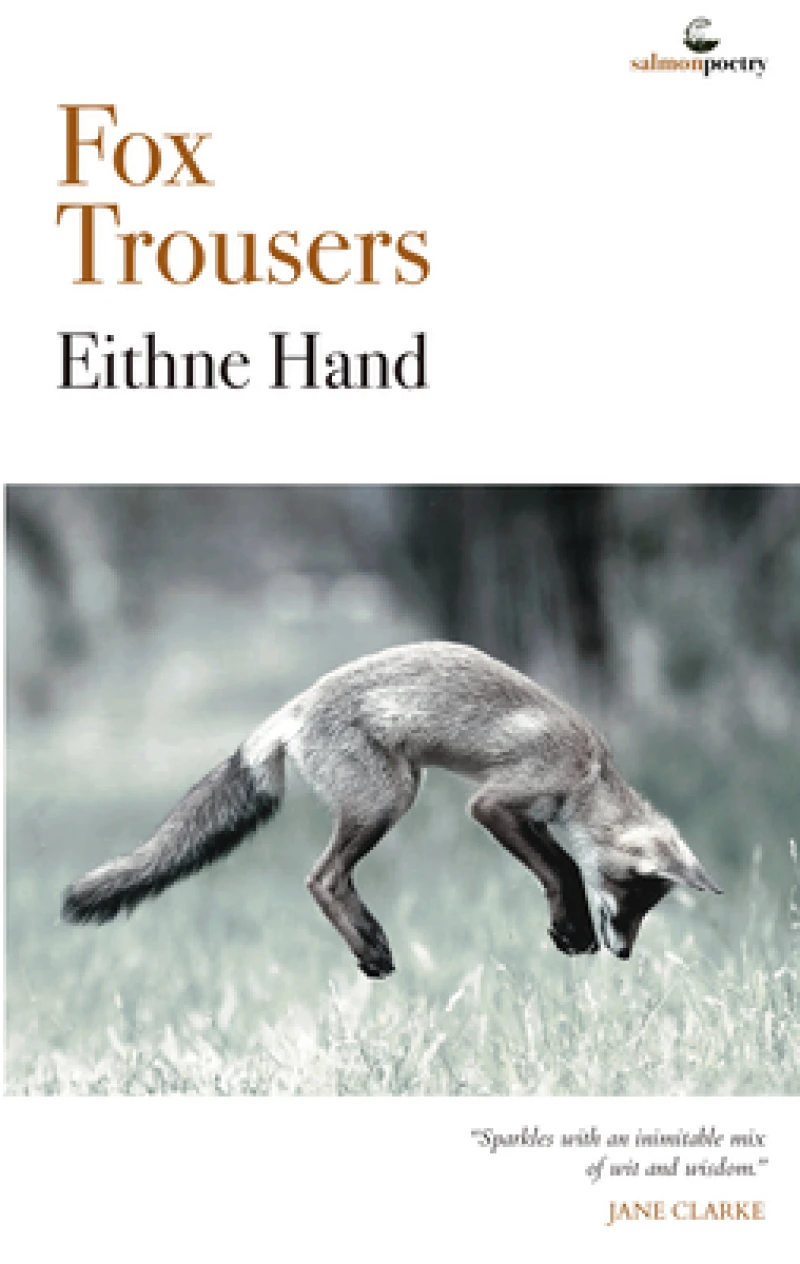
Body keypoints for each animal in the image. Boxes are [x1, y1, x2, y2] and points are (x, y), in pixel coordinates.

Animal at [62, 642, 722, 977]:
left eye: (647, 906)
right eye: (632, 894)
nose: (626, 954)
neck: (588, 776)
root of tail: (298, 704)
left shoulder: (527, 814)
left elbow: (559, 865)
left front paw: (571, 928)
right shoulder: (495, 804)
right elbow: (560, 867)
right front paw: (571, 929)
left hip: (396, 790)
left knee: (332, 878)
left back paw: (373, 941)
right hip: (389, 798)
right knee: (322, 878)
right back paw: (369, 949)